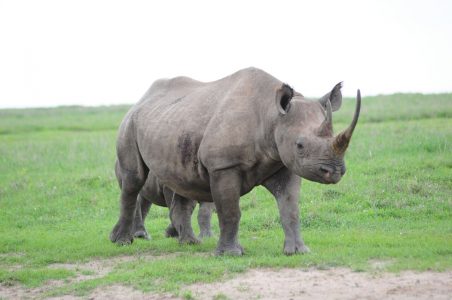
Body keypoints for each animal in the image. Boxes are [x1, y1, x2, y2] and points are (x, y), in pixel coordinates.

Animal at [111, 67, 362, 254]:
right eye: (300, 145)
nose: (334, 171)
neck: (271, 115)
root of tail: (140, 101)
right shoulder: (223, 165)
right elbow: (230, 210)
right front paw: (231, 253)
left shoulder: (284, 164)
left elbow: (290, 208)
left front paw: (298, 251)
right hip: (129, 123)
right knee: (133, 181)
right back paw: (122, 241)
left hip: (171, 123)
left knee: (181, 184)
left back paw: (190, 243)